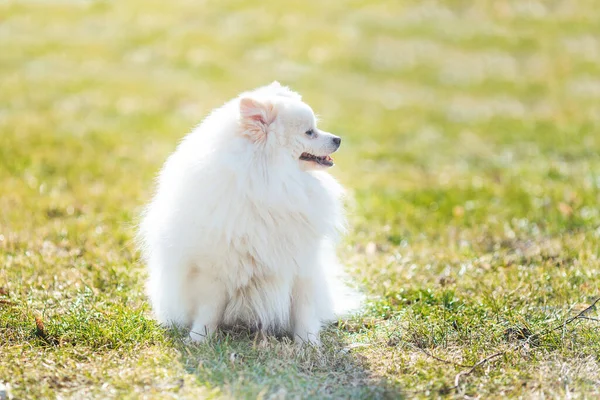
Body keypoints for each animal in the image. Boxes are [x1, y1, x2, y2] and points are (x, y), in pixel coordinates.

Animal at [138, 81, 358, 344]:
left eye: (315, 128)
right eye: (309, 132)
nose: (338, 139)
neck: (272, 181)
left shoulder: (301, 264)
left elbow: (303, 309)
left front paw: (308, 342)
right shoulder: (215, 269)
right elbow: (209, 308)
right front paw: (199, 338)